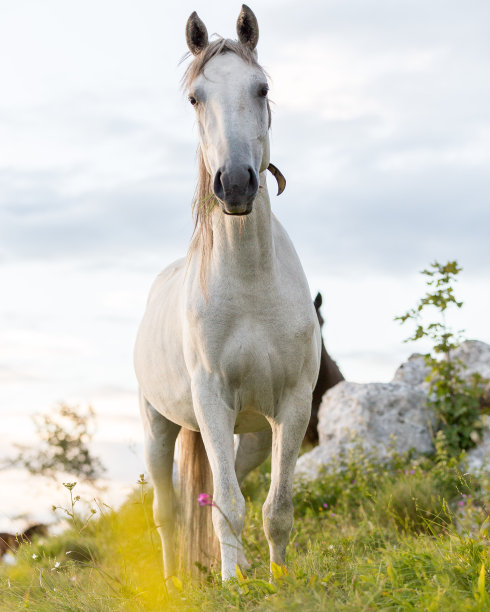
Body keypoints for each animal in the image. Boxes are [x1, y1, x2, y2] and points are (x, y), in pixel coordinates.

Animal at [134, 4, 320, 580]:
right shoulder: (212, 401)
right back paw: (175, 583)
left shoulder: (292, 407)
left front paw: (278, 583)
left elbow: (274, 509)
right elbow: (228, 507)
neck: (251, 288)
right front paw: (235, 583)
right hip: (158, 426)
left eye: (261, 88)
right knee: (169, 511)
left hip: (251, 434)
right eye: (196, 98)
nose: (235, 183)